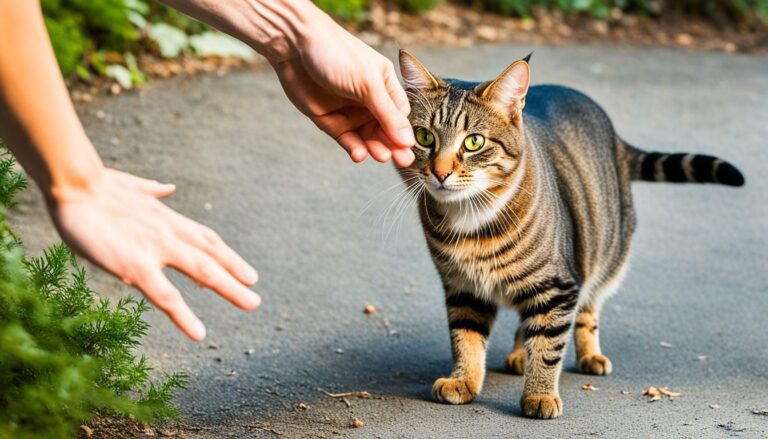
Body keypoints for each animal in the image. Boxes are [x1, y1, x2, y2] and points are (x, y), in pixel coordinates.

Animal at [396, 49, 744, 422]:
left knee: (587, 308)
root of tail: (614, 135)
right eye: (424, 137)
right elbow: (466, 338)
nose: (440, 172)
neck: (470, 219)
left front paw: (539, 394)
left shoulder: (558, 286)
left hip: (603, 256)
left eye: (474, 142)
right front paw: (464, 380)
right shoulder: (462, 287)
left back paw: (588, 354)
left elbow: (549, 343)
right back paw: (520, 353)